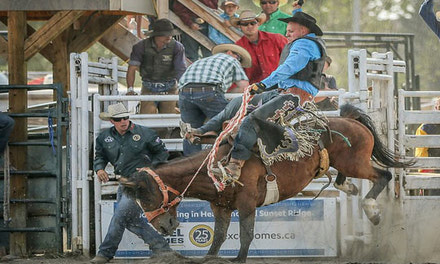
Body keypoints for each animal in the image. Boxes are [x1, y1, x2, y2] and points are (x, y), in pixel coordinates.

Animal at [118, 104, 410, 262]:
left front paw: (238, 259)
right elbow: (218, 238)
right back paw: (350, 189)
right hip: (345, 164)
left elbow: (246, 235)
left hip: (356, 163)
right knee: (344, 179)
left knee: (382, 176)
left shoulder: (247, 204)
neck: (217, 168)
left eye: (147, 196)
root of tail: (350, 119)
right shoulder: (220, 208)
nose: (163, 227)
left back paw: (373, 211)